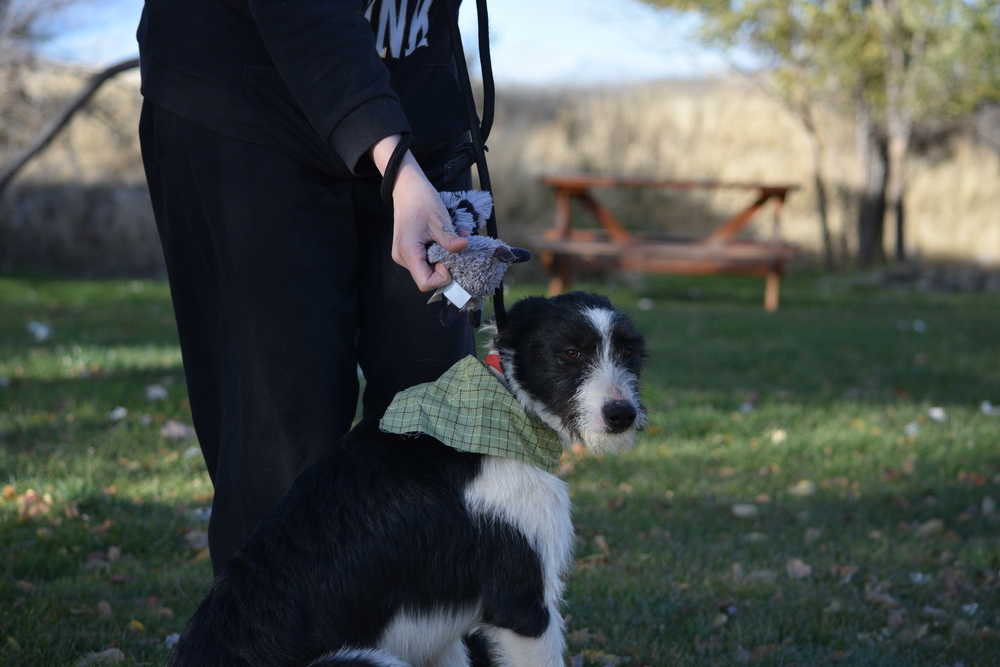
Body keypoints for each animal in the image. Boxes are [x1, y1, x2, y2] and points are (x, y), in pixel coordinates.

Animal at [168, 292, 644, 667]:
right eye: (571, 353)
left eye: (627, 353)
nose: (623, 415)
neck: (504, 409)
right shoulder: (523, 606)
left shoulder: (443, 633)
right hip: (364, 661)